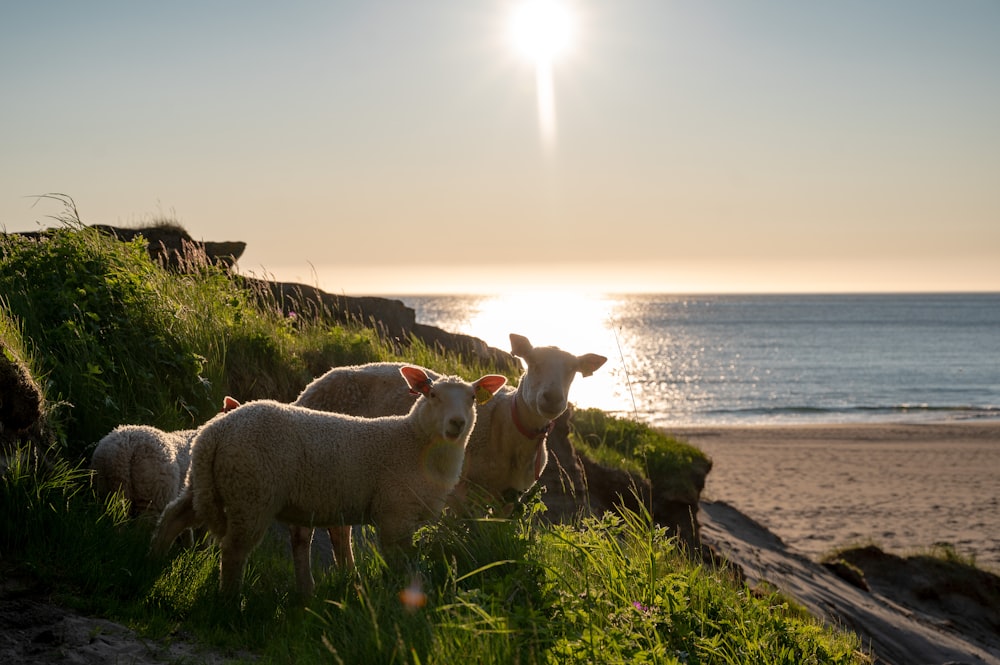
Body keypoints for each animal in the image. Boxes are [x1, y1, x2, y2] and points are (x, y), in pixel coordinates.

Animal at [150, 364, 508, 596]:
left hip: (209, 484)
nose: (457, 424)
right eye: (432, 395)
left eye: (473, 398)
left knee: (174, 515)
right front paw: (401, 597)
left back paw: (150, 561)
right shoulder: (394, 513)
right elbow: (400, 563)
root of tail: (214, 433)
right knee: (234, 550)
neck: (412, 441)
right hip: (251, 493)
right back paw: (229, 602)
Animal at [294, 332, 608, 564]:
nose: (552, 398)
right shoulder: (464, 490)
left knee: (338, 528)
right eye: (531, 363)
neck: (507, 427)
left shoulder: (512, 495)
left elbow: (497, 533)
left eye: (573, 372)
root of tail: (314, 384)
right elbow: (473, 534)